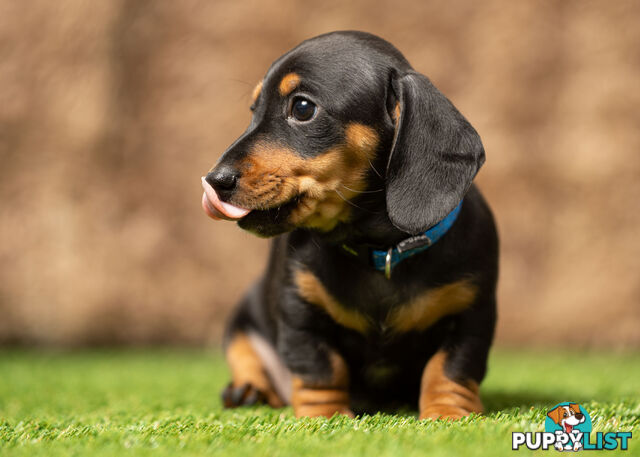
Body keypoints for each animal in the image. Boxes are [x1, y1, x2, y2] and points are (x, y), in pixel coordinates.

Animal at [201, 30, 500, 418]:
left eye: (302, 108)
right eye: (254, 110)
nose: (214, 180)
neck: (378, 249)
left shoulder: (472, 313)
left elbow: (451, 368)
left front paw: (448, 413)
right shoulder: (300, 308)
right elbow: (319, 368)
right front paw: (323, 417)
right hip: (243, 316)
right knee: (245, 354)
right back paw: (248, 390)